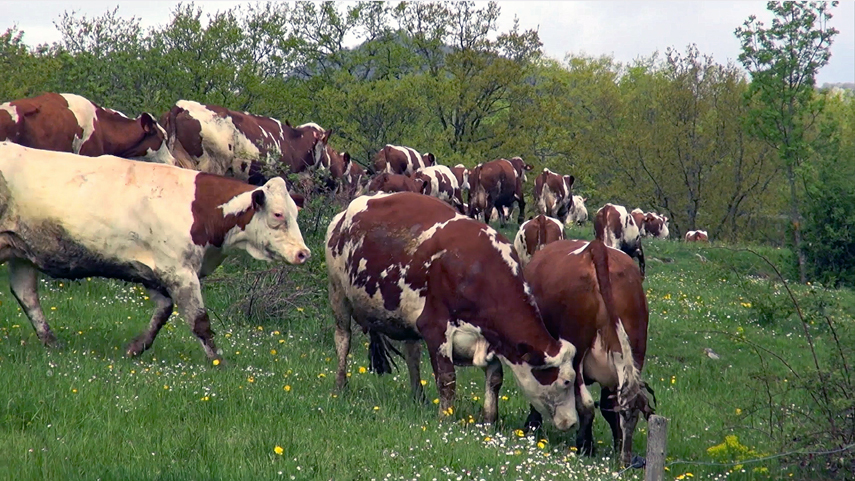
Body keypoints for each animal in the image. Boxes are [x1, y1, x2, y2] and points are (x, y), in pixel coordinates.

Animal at [0, 141, 310, 362]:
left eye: (295, 213)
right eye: (278, 214)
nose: (303, 253)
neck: (201, 209)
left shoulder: (156, 272)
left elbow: (163, 311)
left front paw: (136, 347)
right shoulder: (179, 271)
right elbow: (199, 321)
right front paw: (218, 363)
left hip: (21, 250)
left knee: (26, 294)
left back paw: (51, 342)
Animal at [325, 192, 579, 429]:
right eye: (566, 382)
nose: (573, 422)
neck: (479, 271)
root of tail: (345, 214)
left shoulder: (488, 339)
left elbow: (495, 378)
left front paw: (489, 419)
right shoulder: (436, 328)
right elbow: (447, 378)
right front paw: (445, 418)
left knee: (412, 354)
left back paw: (419, 397)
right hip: (338, 293)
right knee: (343, 339)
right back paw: (340, 386)